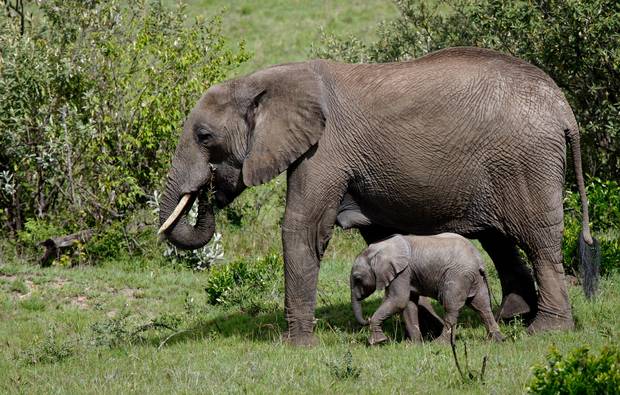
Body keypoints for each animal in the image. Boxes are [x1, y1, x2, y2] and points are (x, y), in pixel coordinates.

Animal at [348, 234, 504, 344]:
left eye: (357, 278)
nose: (367, 319)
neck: (379, 248)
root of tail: (479, 260)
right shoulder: (408, 274)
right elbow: (408, 304)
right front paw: (413, 345)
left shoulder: (402, 272)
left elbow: (398, 300)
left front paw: (376, 342)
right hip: (476, 279)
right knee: (482, 306)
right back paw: (495, 340)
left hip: (458, 276)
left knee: (451, 307)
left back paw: (440, 344)